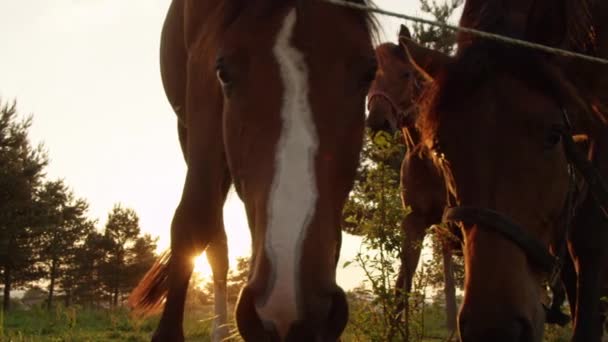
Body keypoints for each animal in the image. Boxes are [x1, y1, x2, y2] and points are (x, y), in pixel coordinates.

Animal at [126, 1, 378, 340]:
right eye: (223, 71)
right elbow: (193, 221)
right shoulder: (202, 88)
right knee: (215, 240)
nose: (287, 313)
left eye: (369, 72)